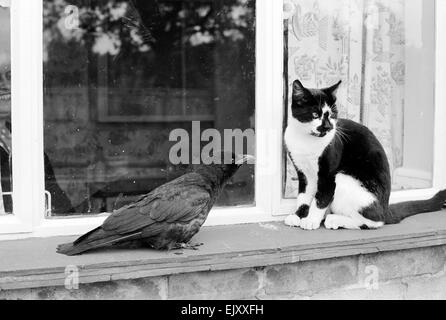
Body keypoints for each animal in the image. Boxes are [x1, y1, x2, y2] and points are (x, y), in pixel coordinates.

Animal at [284, 79, 444, 230]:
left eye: (333, 115)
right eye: (315, 114)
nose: (329, 127)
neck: (305, 139)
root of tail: (386, 208)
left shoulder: (328, 175)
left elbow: (321, 199)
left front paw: (311, 220)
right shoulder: (304, 173)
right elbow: (303, 197)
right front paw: (298, 216)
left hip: (345, 179)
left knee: (375, 221)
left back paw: (334, 219)